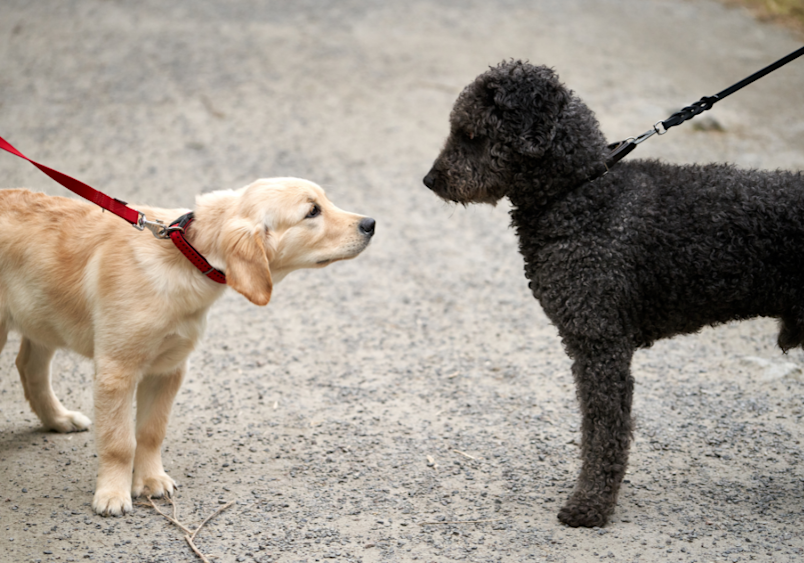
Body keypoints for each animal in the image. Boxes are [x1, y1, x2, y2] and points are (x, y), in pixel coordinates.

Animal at [0, 180, 376, 516]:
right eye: (312, 211)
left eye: (325, 201)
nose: (371, 224)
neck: (184, 255)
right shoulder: (116, 370)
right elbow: (119, 442)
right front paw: (112, 494)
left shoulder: (169, 369)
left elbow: (151, 431)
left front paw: (150, 480)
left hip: (42, 317)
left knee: (29, 367)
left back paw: (59, 419)